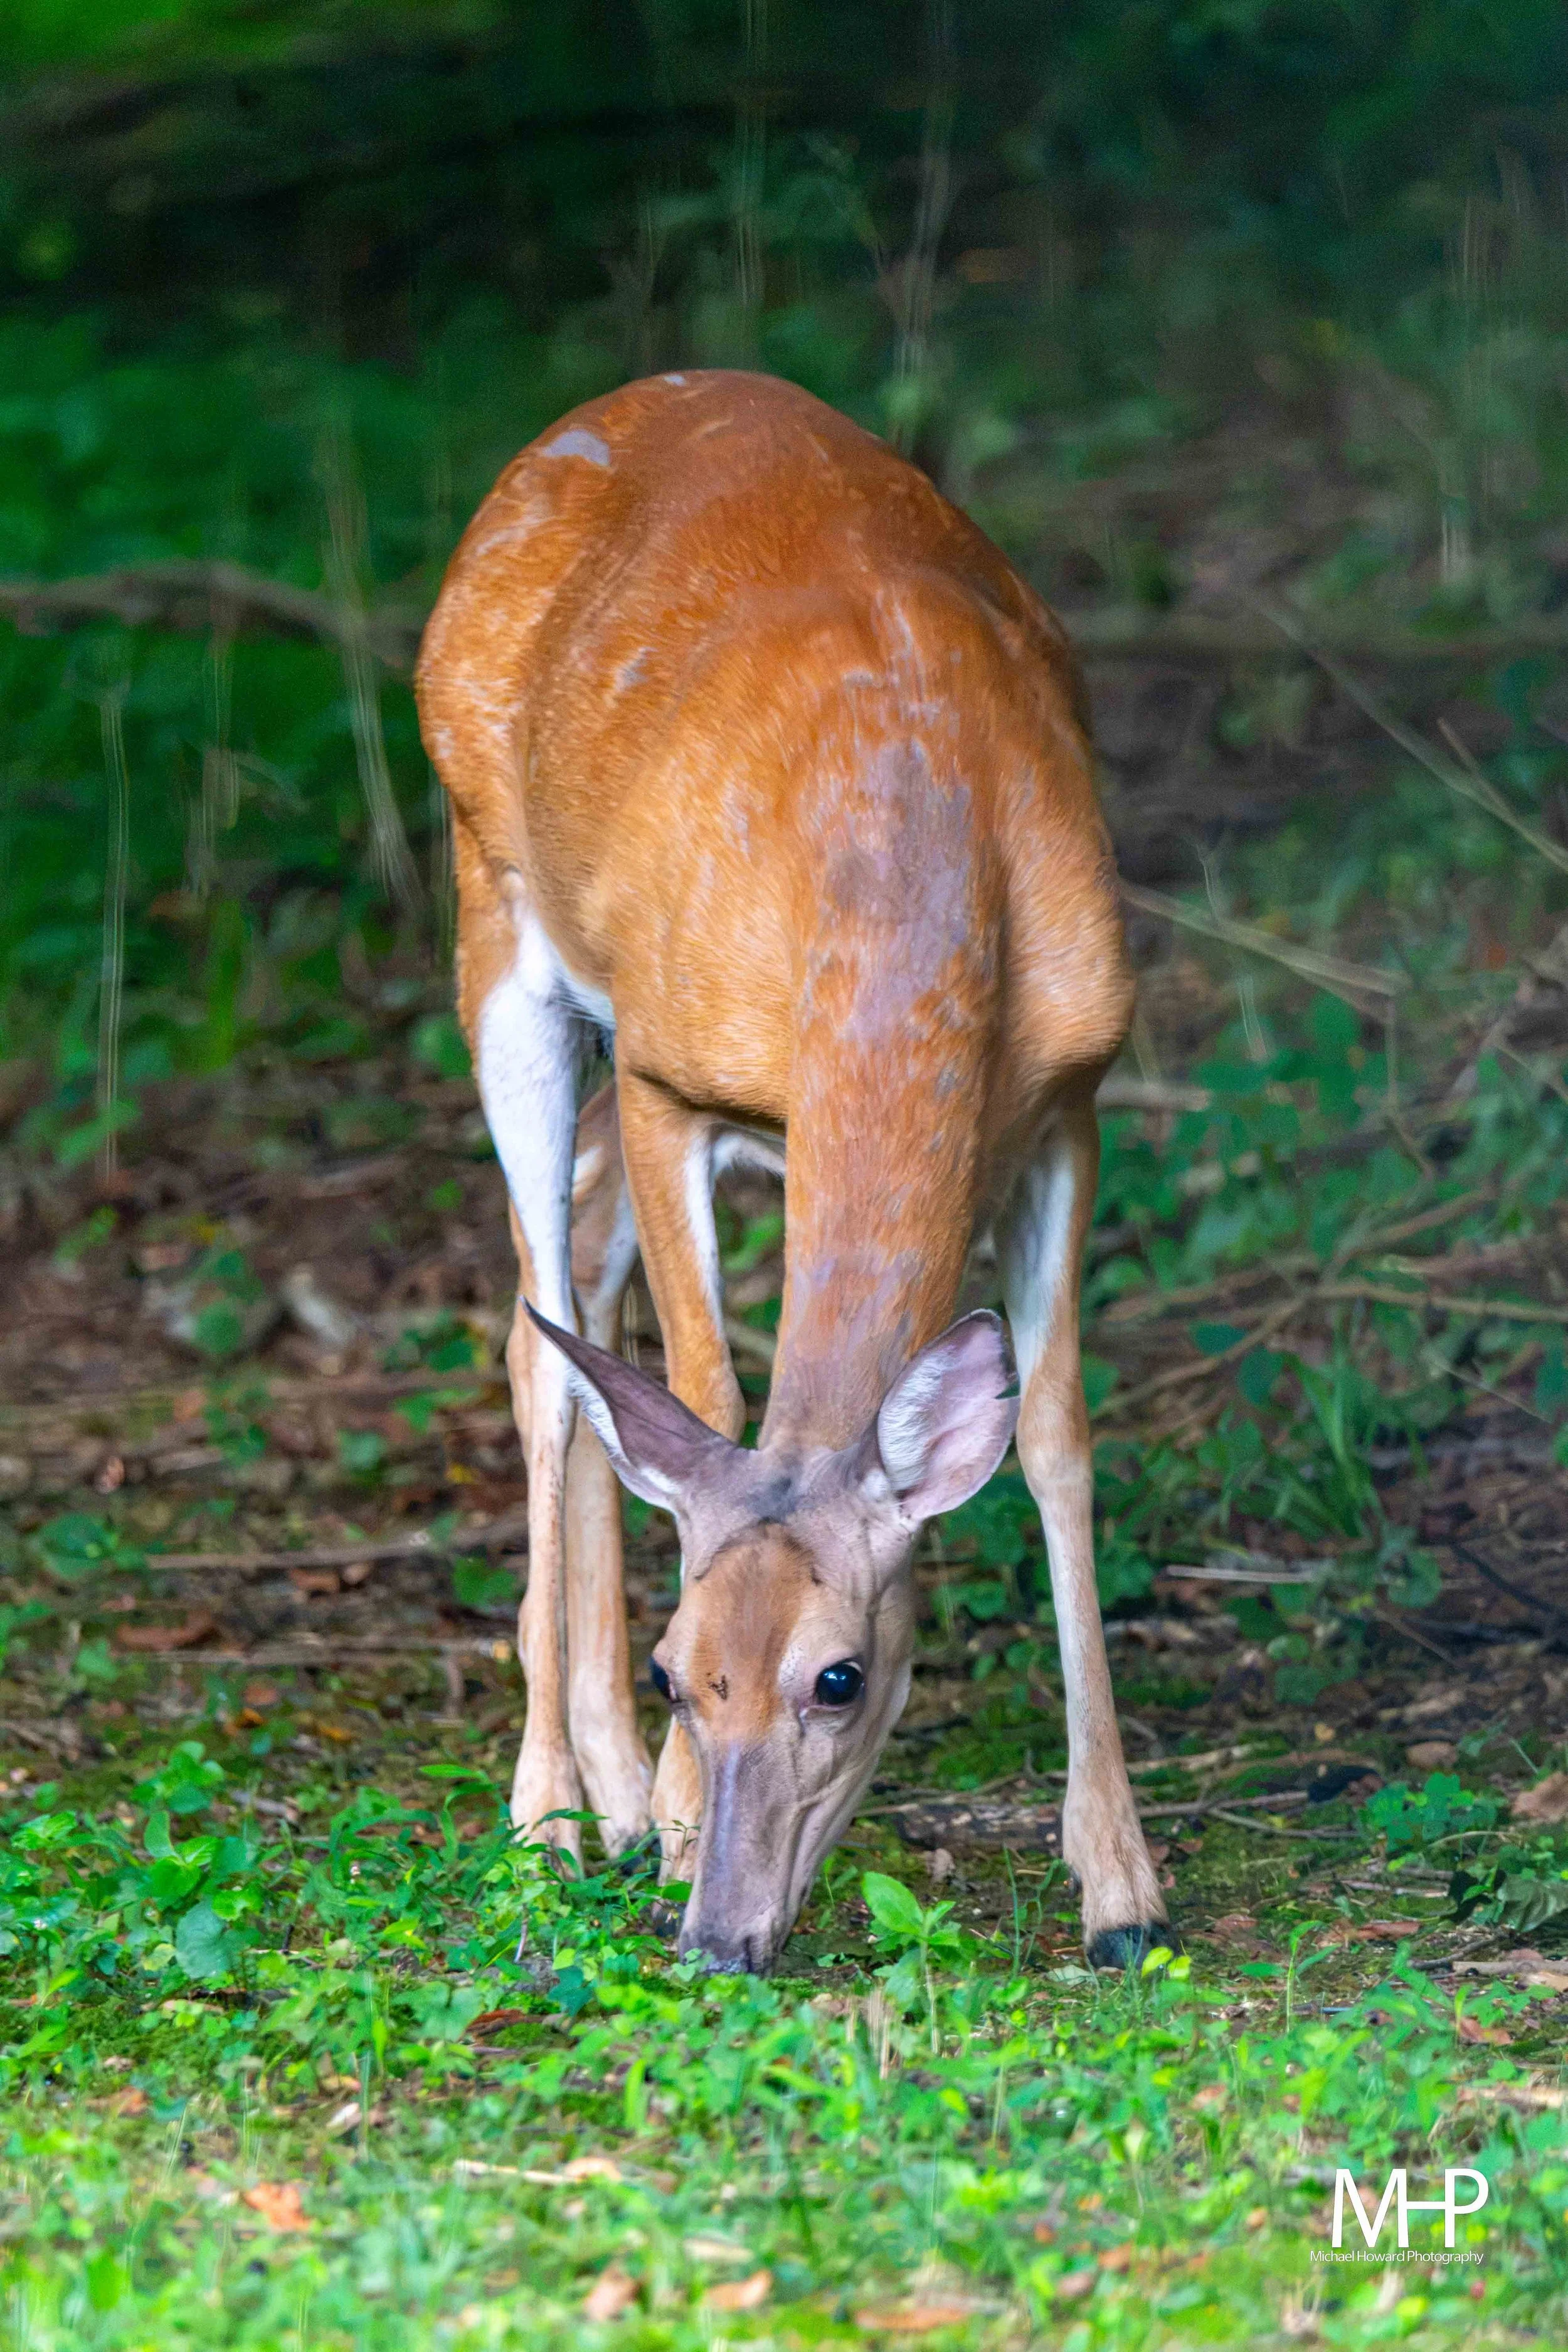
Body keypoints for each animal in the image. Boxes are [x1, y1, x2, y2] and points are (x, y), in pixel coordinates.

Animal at [416, 368, 1168, 1974]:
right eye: (681, 1666)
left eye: (839, 1676)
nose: (717, 1937)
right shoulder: (667, 1072)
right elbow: (705, 1397)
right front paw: (667, 1816)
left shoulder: (1071, 1094)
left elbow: (1057, 1436)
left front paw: (1120, 1884)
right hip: (497, 929)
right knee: (546, 1339)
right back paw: (555, 1815)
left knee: (562, 1302)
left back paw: (601, 1788)